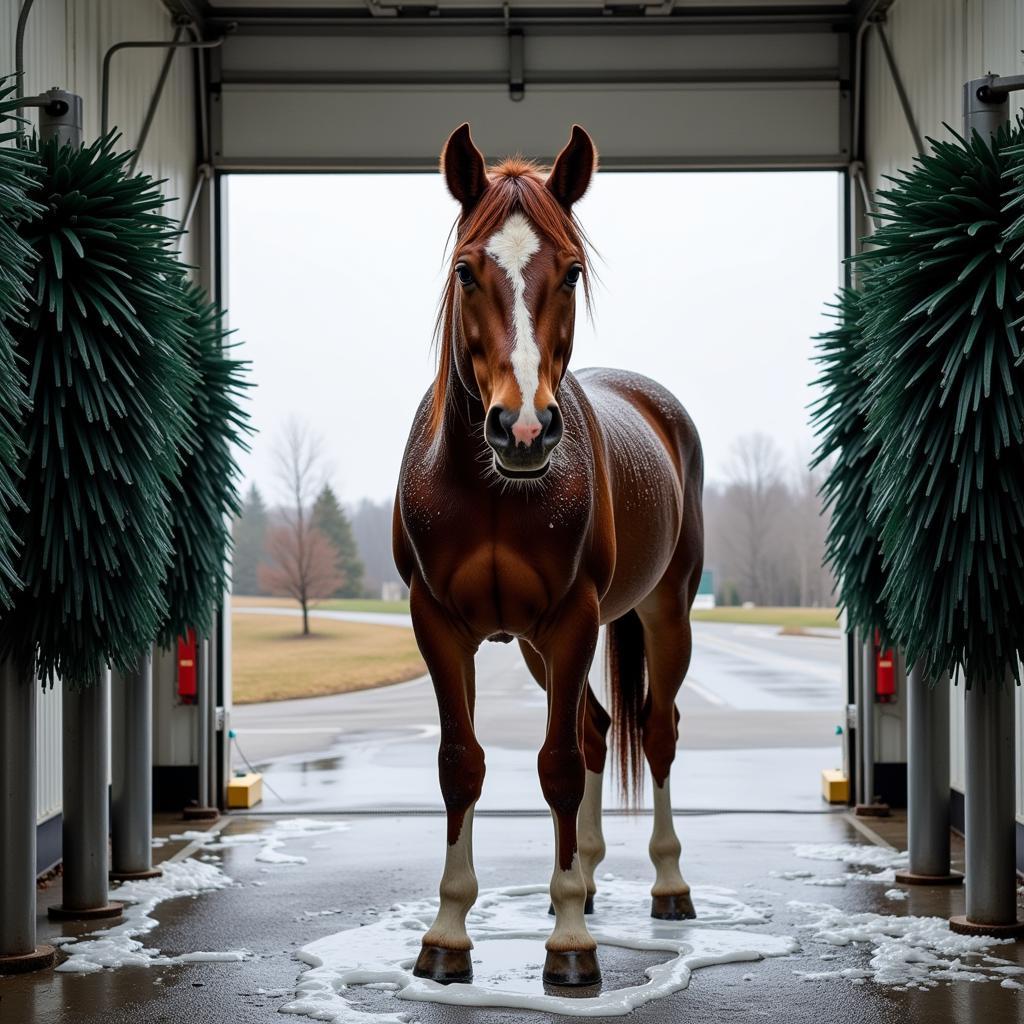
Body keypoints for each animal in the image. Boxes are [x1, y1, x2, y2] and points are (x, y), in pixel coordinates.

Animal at [391, 123, 704, 987]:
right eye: (467, 269)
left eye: (570, 270)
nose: (523, 430)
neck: (495, 490)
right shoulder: (439, 624)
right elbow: (461, 764)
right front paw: (446, 936)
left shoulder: (574, 619)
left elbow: (559, 765)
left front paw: (568, 947)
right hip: (534, 646)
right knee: (600, 729)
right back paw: (588, 881)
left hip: (665, 614)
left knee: (654, 732)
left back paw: (667, 884)